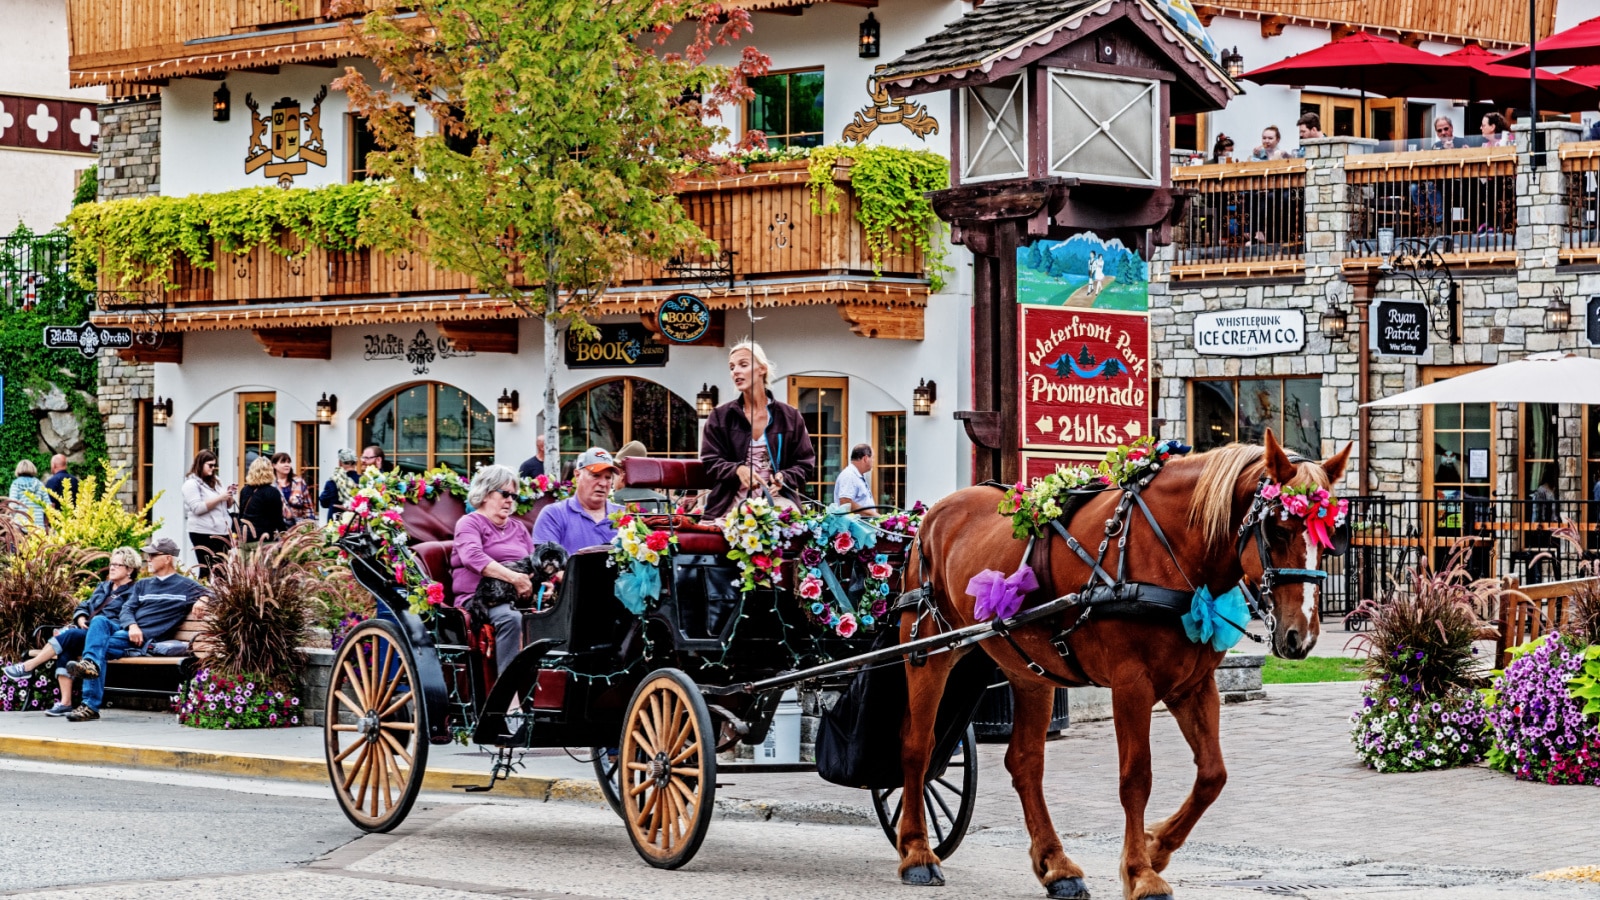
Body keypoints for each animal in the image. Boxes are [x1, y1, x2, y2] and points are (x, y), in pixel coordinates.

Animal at [896, 432, 1344, 890]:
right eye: (1277, 529)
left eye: (1331, 534)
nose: (1301, 635)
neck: (1170, 549)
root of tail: (930, 515)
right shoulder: (1132, 683)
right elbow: (1136, 778)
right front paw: (1140, 873)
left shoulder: (1194, 684)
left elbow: (1212, 775)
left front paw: (1156, 847)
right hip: (927, 651)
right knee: (918, 746)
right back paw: (917, 852)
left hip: (1030, 671)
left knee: (1024, 761)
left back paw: (1056, 863)